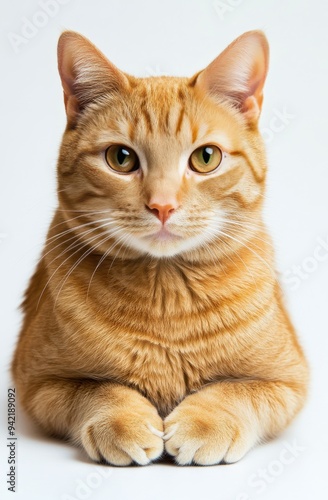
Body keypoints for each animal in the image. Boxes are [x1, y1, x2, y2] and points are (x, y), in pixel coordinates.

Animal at [11, 31, 308, 466]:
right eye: (121, 158)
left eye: (206, 157)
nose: (163, 205)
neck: (168, 292)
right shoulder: (38, 382)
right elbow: (97, 389)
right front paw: (122, 420)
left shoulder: (288, 380)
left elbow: (234, 391)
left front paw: (205, 422)